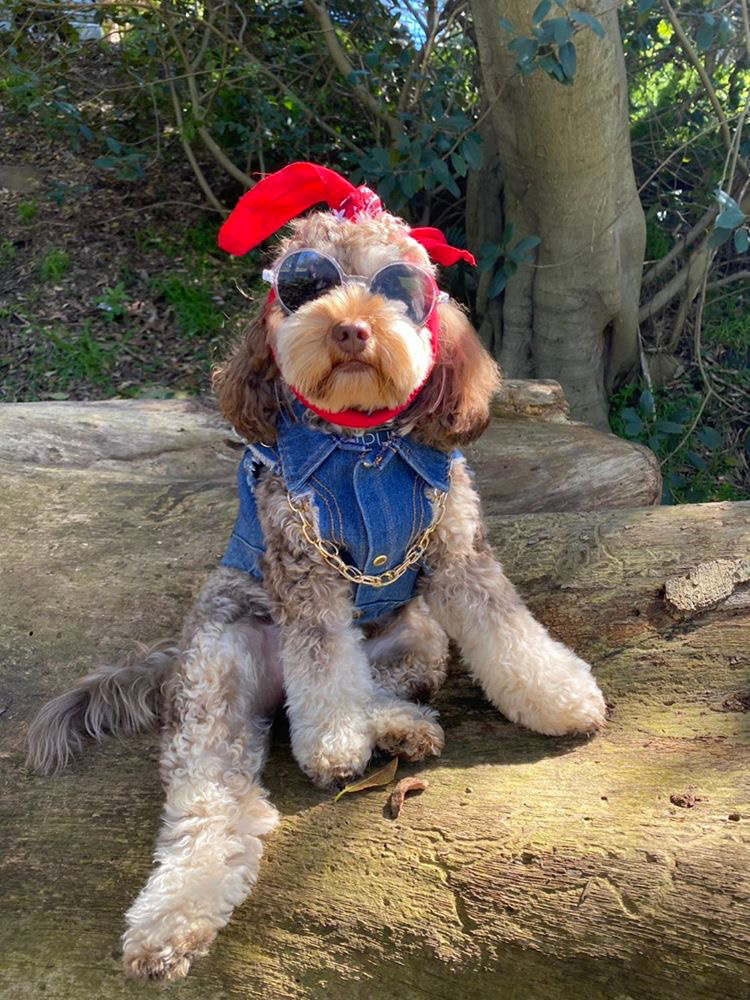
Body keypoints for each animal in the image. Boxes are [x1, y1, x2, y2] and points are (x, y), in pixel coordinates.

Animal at [26, 164, 608, 984]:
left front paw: (558, 697)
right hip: (217, 676)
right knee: (216, 800)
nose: (351, 328)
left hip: (416, 641)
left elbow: (509, 633)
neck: (362, 447)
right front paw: (333, 745)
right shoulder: (303, 574)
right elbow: (325, 672)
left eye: (400, 285)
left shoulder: (458, 554)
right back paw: (174, 919)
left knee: (381, 687)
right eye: (307, 282)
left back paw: (401, 729)